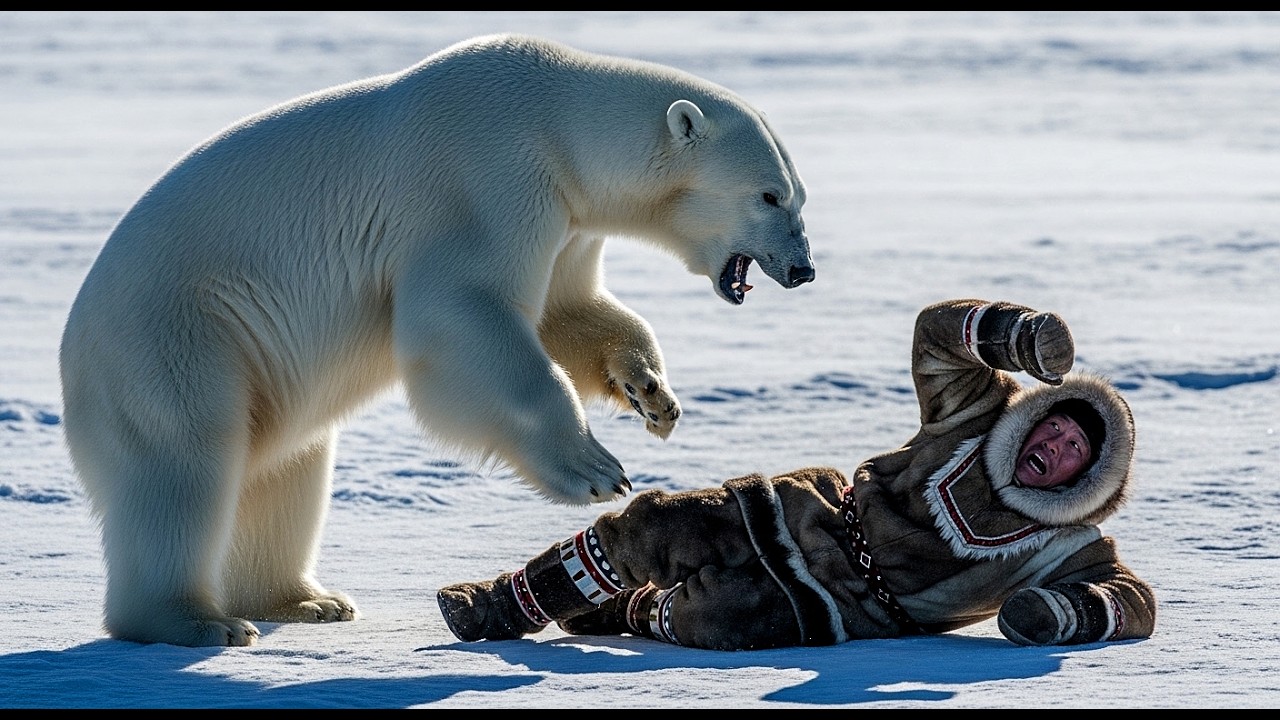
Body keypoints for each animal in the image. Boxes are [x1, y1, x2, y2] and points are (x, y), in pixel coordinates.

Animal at [58, 33, 815, 647]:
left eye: (798, 195)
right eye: (769, 196)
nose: (804, 269)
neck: (559, 124)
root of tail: (72, 350)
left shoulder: (568, 218)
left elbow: (567, 308)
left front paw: (652, 393)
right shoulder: (487, 181)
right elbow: (465, 314)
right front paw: (596, 468)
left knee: (288, 467)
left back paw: (307, 600)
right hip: (180, 336)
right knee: (184, 465)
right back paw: (196, 620)